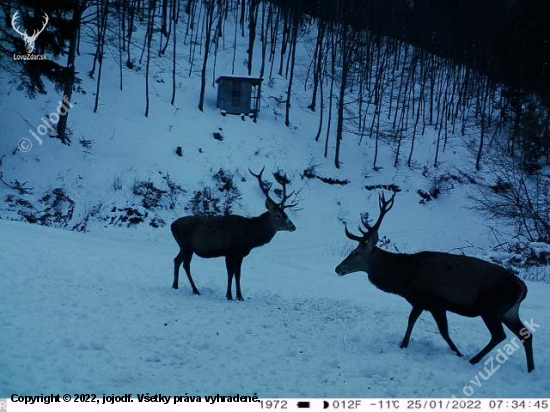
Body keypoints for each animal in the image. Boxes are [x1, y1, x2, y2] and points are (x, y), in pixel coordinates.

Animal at [171, 167, 298, 300]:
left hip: (183, 246)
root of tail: (172, 226)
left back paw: (175, 285)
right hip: (186, 245)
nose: (293, 226)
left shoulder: (240, 254)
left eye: (285, 214)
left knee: (176, 260)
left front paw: (240, 296)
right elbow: (230, 273)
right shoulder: (230, 251)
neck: (249, 236)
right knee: (186, 265)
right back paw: (195, 290)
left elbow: (238, 274)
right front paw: (229, 295)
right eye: (278, 215)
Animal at [334, 193, 536, 374]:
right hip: (509, 311)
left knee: (499, 335)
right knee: (526, 334)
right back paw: (530, 369)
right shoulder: (424, 302)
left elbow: (438, 329)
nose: (338, 268)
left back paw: (473, 359)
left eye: (356, 253)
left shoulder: (432, 301)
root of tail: (523, 288)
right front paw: (405, 344)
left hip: (491, 308)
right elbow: (417, 322)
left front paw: (456, 353)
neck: (404, 278)